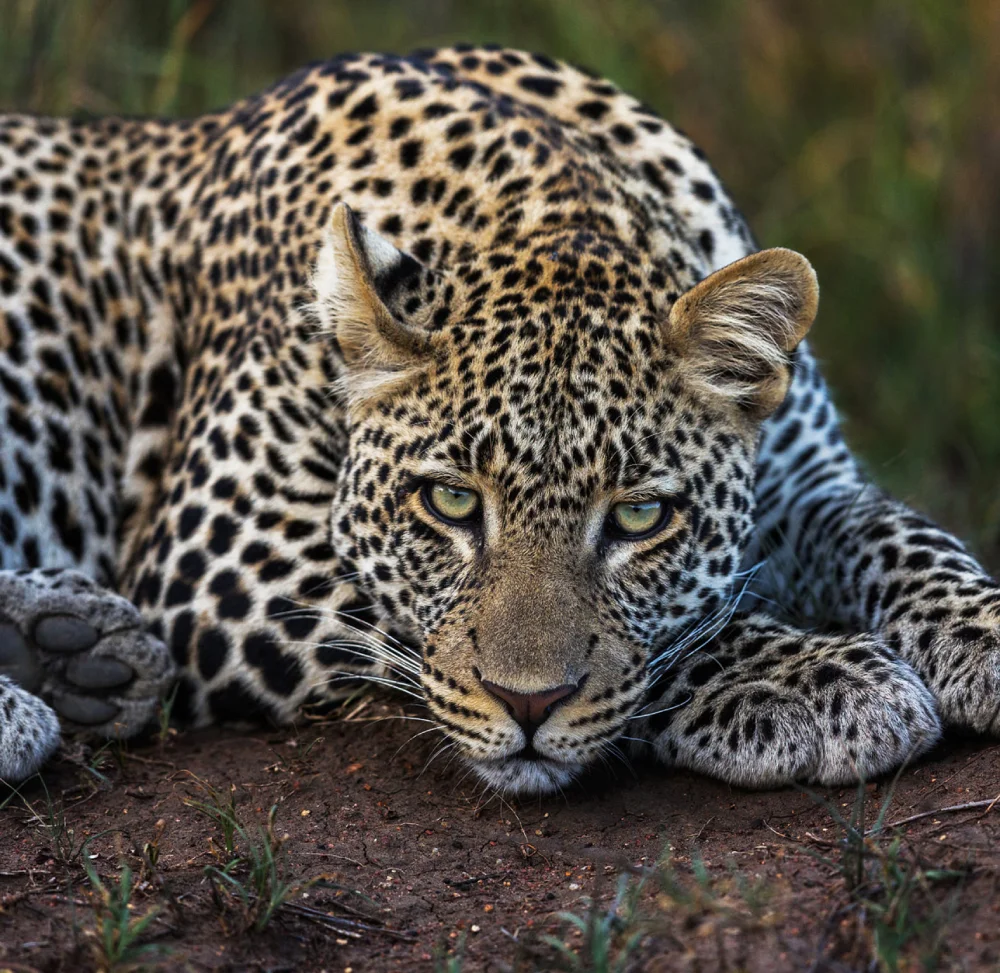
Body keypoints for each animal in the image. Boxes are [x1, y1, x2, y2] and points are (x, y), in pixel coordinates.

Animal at [1, 45, 997, 795]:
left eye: (640, 516)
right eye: (448, 502)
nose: (527, 708)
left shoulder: (808, 483)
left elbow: (902, 535)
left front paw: (982, 633)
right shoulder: (225, 555)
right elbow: (648, 637)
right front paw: (812, 679)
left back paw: (74, 648)